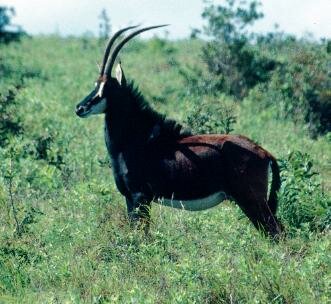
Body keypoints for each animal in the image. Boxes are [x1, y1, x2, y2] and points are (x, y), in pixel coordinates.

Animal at [75, 25, 282, 236]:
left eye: (107, 88)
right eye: (95, 85)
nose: (80, 108)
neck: (137, 140)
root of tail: (265, 153)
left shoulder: (139, 196)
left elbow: (142, 235)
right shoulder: (130, 198)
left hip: (251, 200)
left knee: (276, 231)